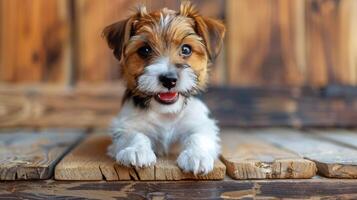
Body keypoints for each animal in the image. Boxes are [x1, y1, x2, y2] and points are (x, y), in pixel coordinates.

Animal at [103, 0, 225, 174]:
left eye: (186, 49)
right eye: (144, 50)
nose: (169, 80)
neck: (166, 113)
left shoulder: (200, 123)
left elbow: (198, 136)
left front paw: (197, 156)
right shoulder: (126, 124)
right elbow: (135, 135)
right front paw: (137, 150)